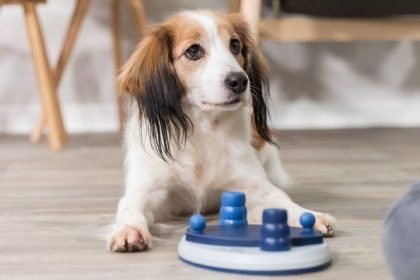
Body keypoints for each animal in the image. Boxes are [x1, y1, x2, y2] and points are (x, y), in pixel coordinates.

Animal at [107, 10, 334, 252]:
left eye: (235, 44)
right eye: (193, 50)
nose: (240, 81)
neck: (202, 129)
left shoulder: (253, 186)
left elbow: (281, 200)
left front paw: (311, 215)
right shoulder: (148, 190)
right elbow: (130, 207)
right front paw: (129, 230)